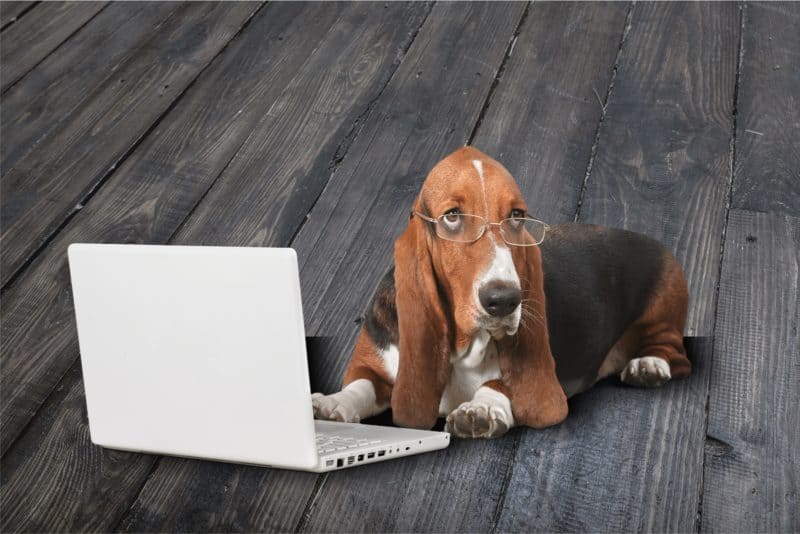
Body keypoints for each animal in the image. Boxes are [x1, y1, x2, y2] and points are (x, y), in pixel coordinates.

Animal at [310, 147, 692, 440]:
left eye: (516, 216)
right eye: (452, 216)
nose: (504, 300)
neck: (462, 347)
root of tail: (656, 243)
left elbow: (502, 383)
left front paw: (481, 408)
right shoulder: (374, 361)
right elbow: (362, 384)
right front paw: (331, 405)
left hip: (663, 311)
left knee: (677, 354)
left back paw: (648, 365)